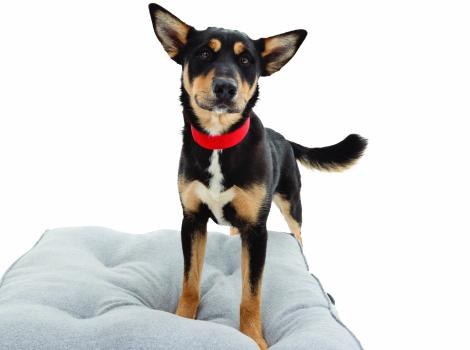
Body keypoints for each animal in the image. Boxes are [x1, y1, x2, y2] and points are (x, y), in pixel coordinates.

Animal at [149, 4, 366, 348]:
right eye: (203, 53)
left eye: (246, 60)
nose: (226, 87)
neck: (218, 142)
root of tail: (285, 139)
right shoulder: (192, 220)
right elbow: (189, 281)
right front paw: (183, 320)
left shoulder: (256, 230)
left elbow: (251, 295)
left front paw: (253, 337)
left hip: (291, 202)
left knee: (299, 237)